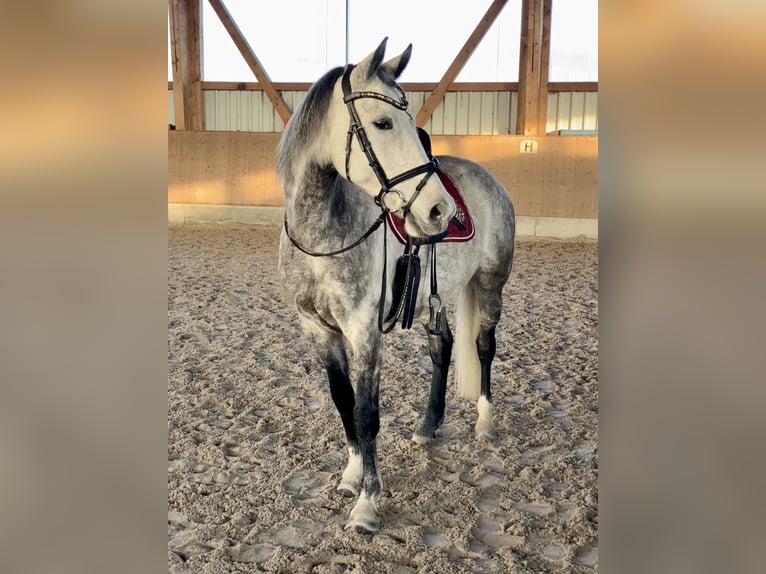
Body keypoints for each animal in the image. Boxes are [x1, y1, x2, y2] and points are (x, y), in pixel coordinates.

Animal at [277, 38, 515, 534]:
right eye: (383, 122)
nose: (440, 211)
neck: (322, 234)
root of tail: (490, 180)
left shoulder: (363, 330)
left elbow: (367, 414)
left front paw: (367, 505)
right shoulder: (318, 330)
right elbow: (343, 402)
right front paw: (352, 477)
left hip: (490, 286)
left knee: (483, 347)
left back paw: (485, 422)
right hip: (430, 299)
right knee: (443, 347)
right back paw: (428, 426)